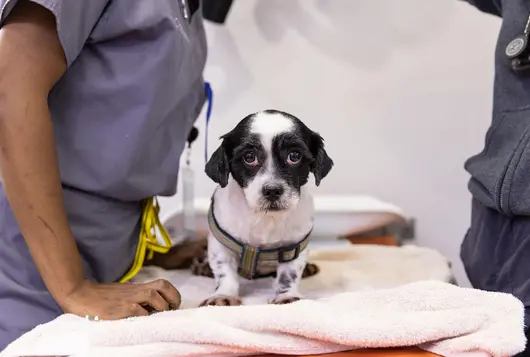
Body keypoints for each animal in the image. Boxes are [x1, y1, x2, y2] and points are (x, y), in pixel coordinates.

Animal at [200, 110, 332, 304]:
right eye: (249, 157)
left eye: (294, 156)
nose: (272, 190)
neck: (264, 217)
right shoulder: (221, 243)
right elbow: (224, 271)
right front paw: (223, 294)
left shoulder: (293, 248)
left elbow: (288, 274)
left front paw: (286, 295)